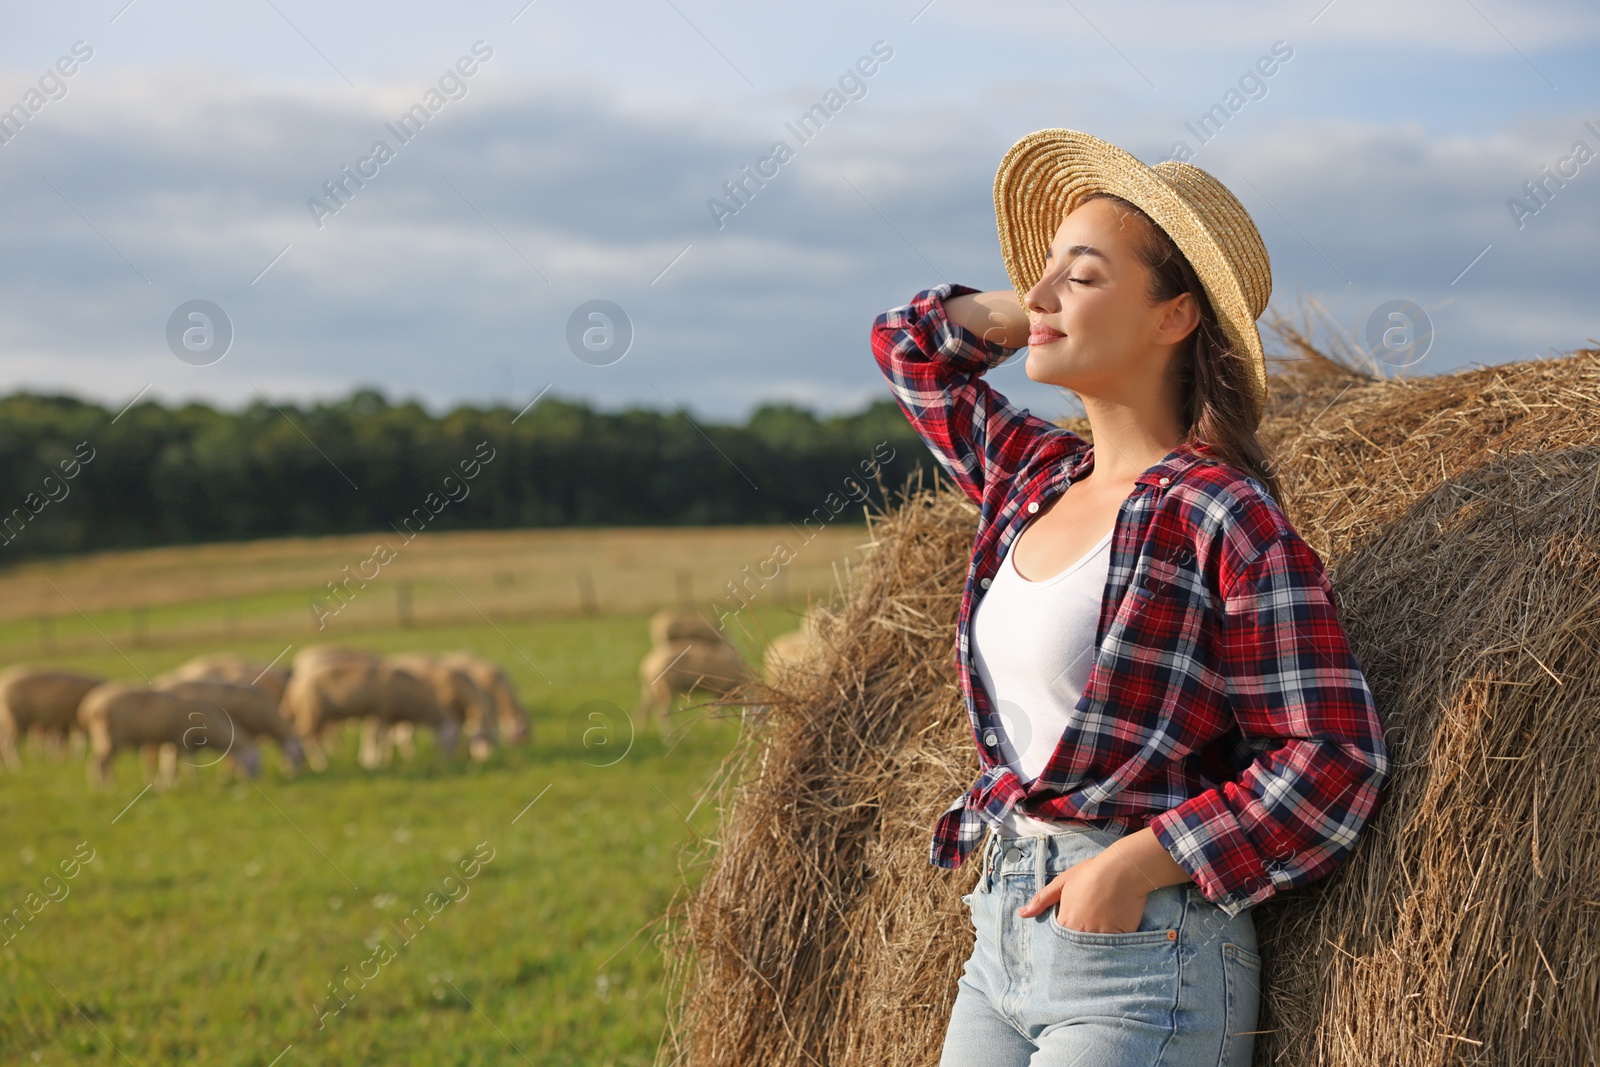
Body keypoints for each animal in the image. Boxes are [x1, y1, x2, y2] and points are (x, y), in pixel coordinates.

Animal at [76, 681, 259, 790]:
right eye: (253, 760)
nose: (258, 780)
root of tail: (89, 708)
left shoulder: (175, 742)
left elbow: (171, 764)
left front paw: (169, 783)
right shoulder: (181, 740)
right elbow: (186, 764)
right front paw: (192, 782)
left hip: (102, 738)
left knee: (100, 761)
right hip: (111, 736)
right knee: (100, 763)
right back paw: (106, 788)